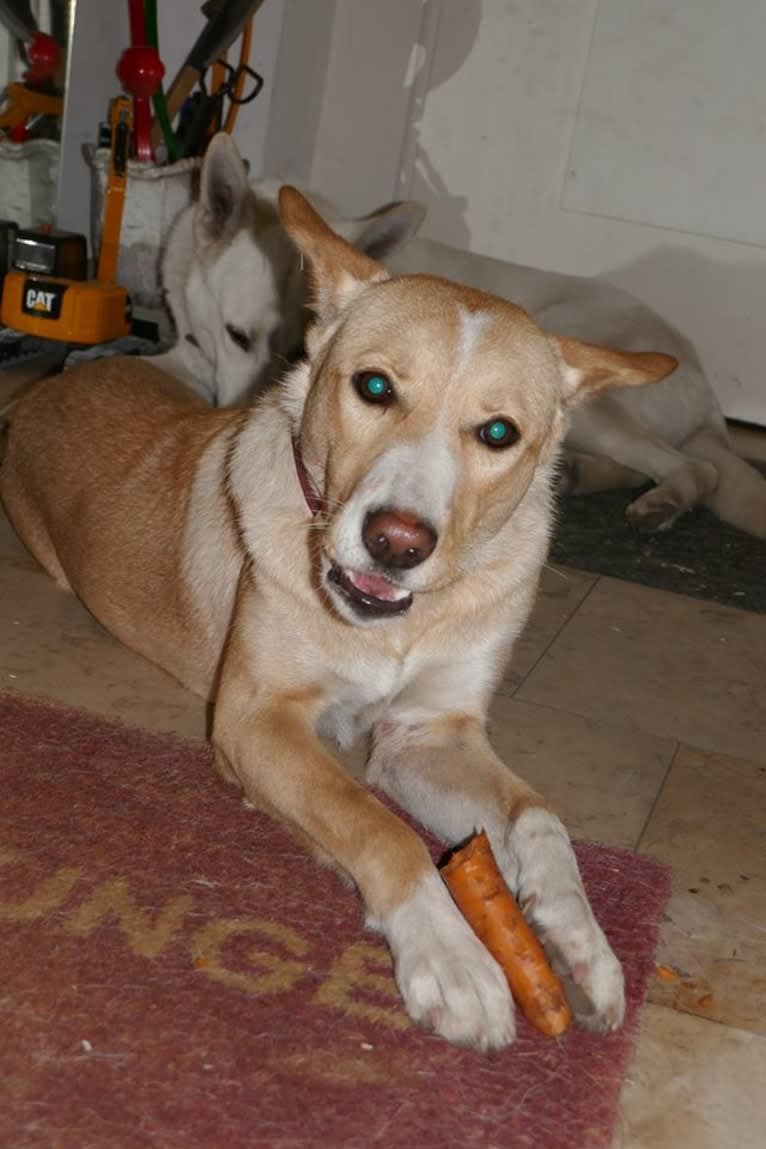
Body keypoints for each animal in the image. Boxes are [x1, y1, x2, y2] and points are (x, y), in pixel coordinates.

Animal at [0, 186, 675, 1052]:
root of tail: (50, 387)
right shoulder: (257, 722)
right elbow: (378, 826)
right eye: (375, 387)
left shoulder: (427, 734)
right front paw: (453, 958)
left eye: (499, 433)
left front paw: (579, 941)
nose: (397, 542)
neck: (394, 623)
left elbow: (541, 819)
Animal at [156, 136, 766, 540]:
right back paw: (580, 476)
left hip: (587, 397)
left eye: (295, 352)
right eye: (238, 336)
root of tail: (710, 397)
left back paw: (662, 501)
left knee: (697, 470)